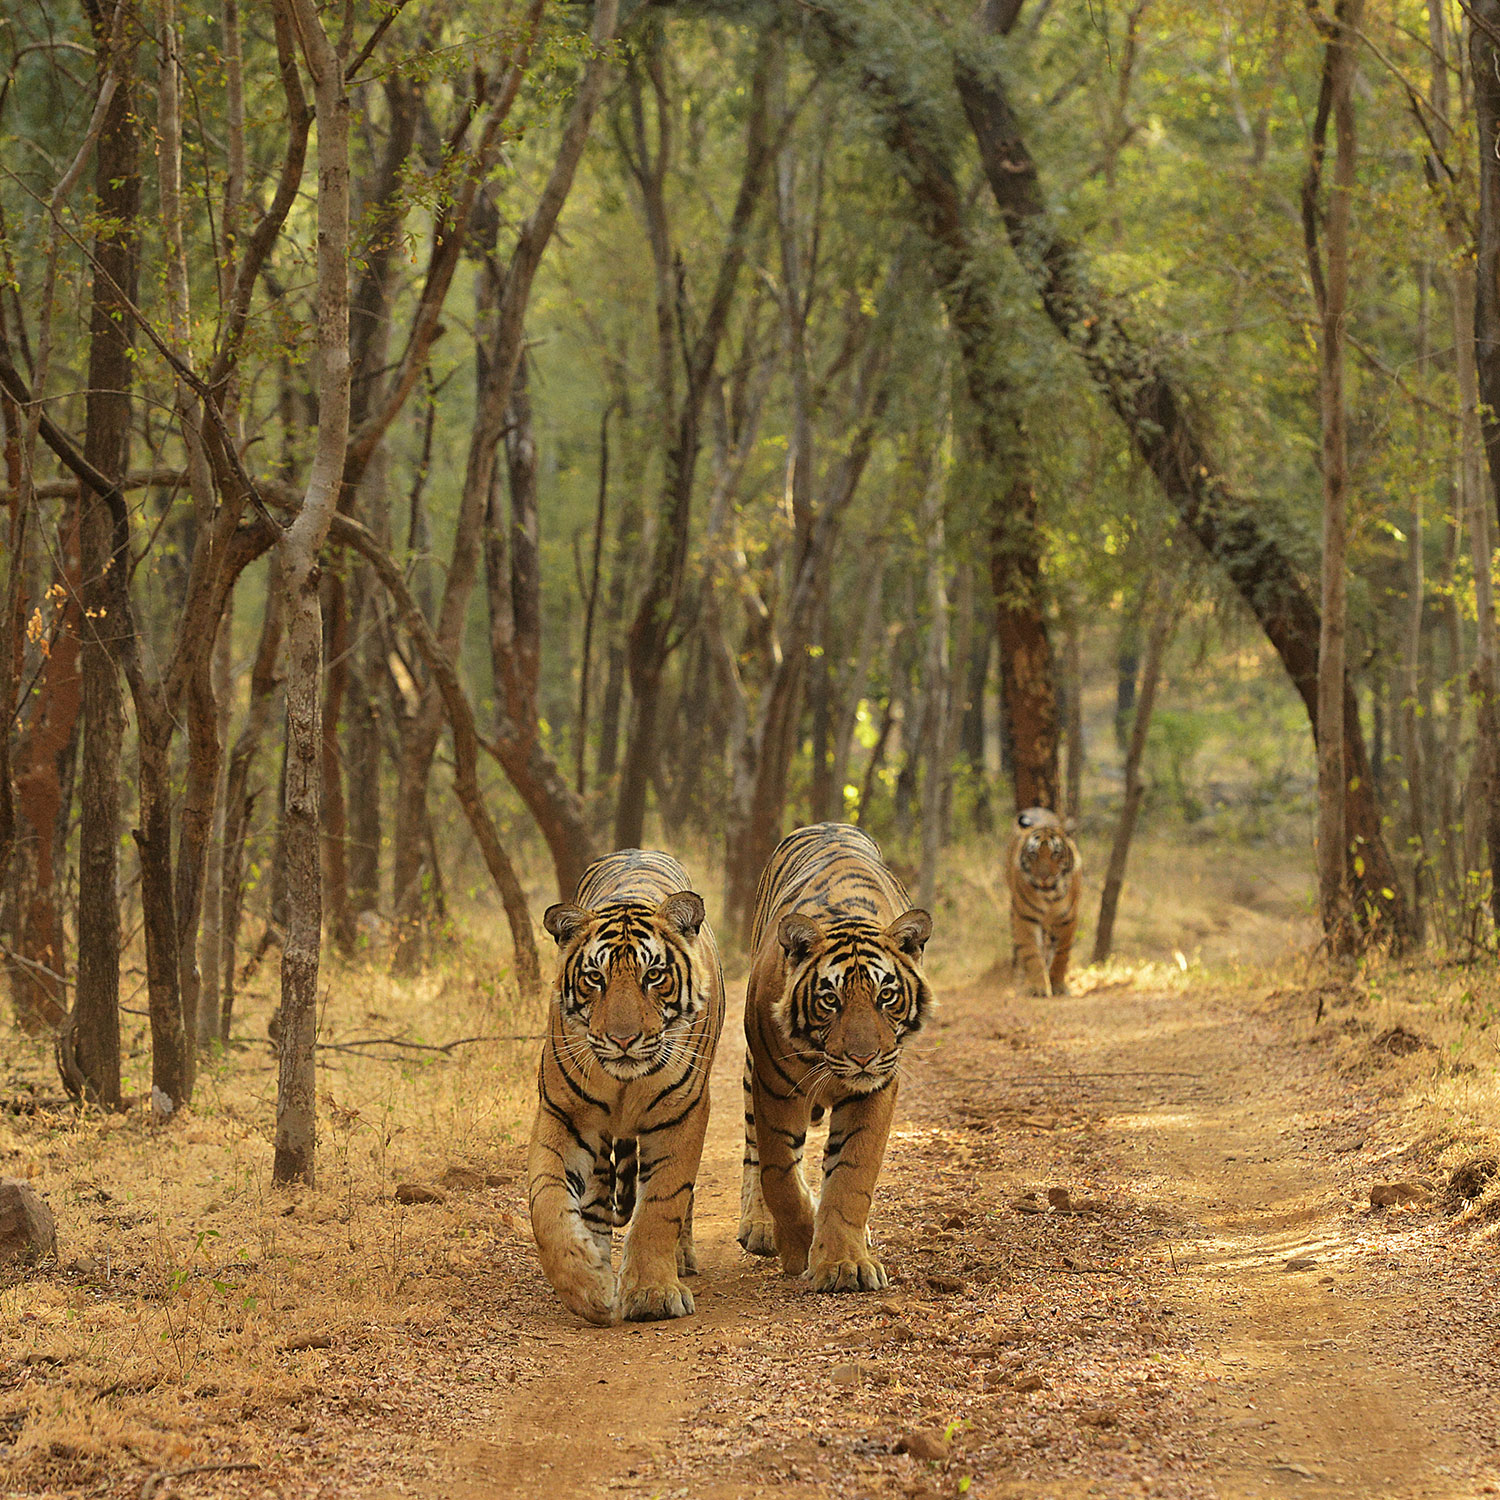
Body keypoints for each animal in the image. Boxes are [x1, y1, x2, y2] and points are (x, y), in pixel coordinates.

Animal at [531, 852, 723, 1332]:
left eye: (653, 975)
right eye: (594, 978)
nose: (622, 1039)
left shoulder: (682, 1114)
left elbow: (661, 1206)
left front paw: (653, 1294)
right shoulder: (563, 1115)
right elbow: (547, 1206)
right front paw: (590, 1288)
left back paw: (682, 1259)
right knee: (597, 1199)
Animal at [735, 822, 930, 1290]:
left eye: (886, 996)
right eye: (830, 1000)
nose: (863, 1057)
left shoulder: (876, 1089)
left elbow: (850, 1176)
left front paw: (844, 1263)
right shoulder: (774, 1087)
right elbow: (780, 1174)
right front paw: (799, 1246)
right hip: (753, 1073)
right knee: (754, 1150)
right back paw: (760, 1227)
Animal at [1008, 810, 1080, 996]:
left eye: (1056, 853)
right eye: (1033, 854)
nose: (1044, 877)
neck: (1050, 898)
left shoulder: (1067, 918)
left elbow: (1061, 952)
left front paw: (1058, 985)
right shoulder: (1025, 918)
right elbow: (1032, 953)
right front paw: (1039, 987)